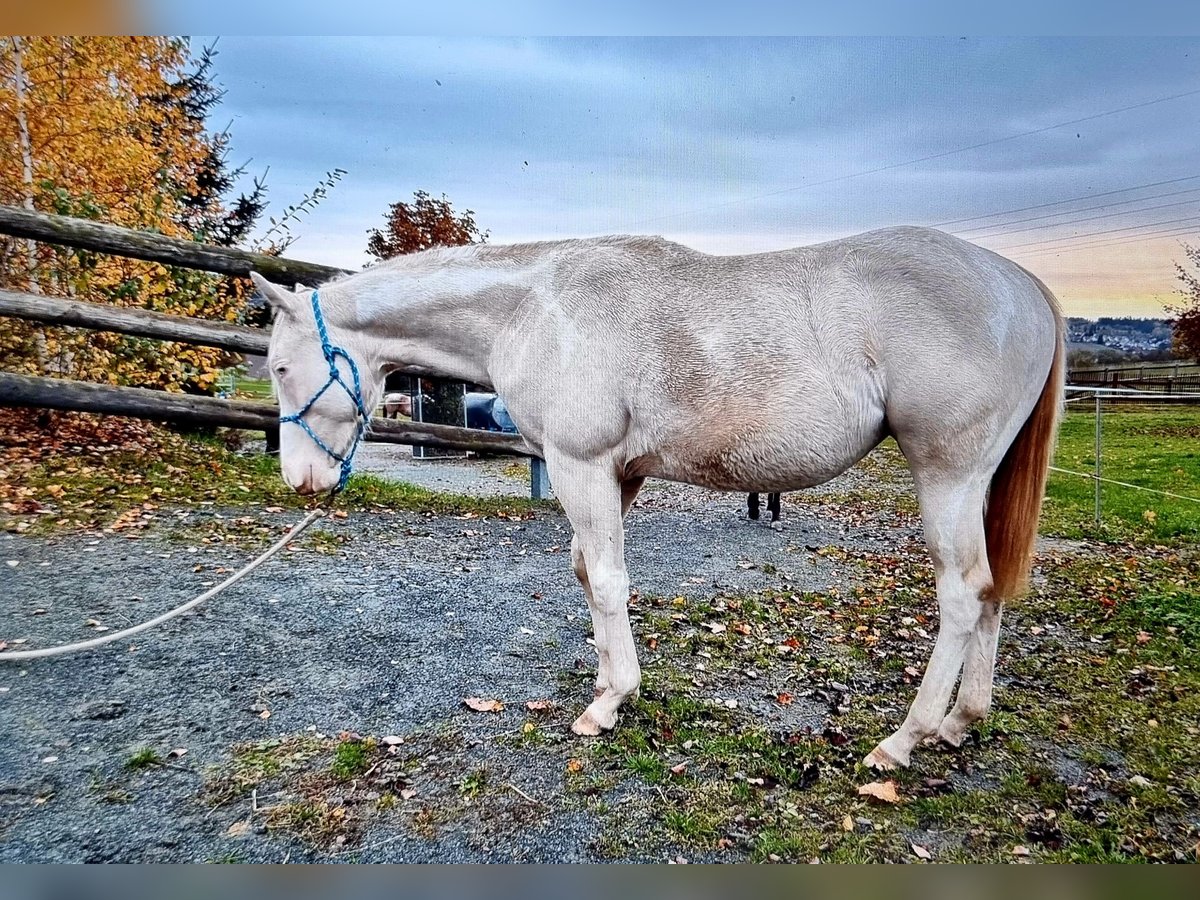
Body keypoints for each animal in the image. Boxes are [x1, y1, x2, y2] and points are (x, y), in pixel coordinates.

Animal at [250, 225, 1060, 768]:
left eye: (282, 367)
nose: (301, 481)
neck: (534, 308)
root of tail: (1023, 285)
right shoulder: (620, 474)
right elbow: (588, 574)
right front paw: (612, 681)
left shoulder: (580, 466)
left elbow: (609, 582)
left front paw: (607, 704)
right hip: (976, 484)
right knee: (990, 591)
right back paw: (961, 721)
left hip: (946, 475)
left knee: (962, 594)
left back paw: (904, 740)